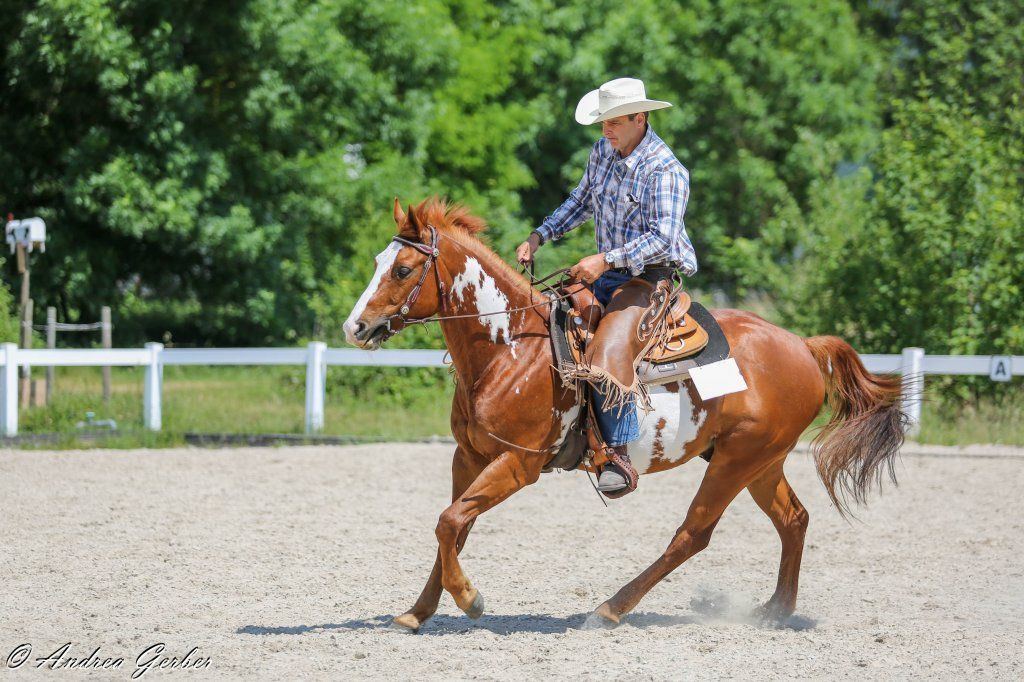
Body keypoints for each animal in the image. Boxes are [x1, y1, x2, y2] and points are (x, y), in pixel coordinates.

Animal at [343, 197, 906, 632]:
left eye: (402, 269)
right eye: (376, 261)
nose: (356, 327)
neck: (511, 351)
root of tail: (803, 346)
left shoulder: (519, 464)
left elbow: (449, 521)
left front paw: (470, 599)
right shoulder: (469, 457)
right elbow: (453, 527)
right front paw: (417, 612)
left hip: (738, 462)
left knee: (692, 535)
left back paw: (610, 609)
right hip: (760, 461)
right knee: (793, 520)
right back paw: (776, 610)